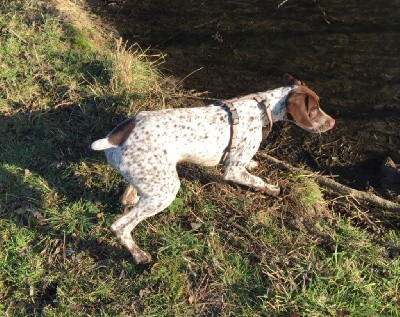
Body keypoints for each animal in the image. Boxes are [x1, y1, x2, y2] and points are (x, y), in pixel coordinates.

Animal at [90, 74, 334, 264]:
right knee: (120, 226)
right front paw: (271, 189)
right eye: (314, 109)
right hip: (165, 191)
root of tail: (115, 137)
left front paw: (253, 164)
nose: (333, 123)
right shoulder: (233, 171)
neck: (261, 109)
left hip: (149, 179)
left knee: (127, 198)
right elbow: (257, 180)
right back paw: (139, 255)